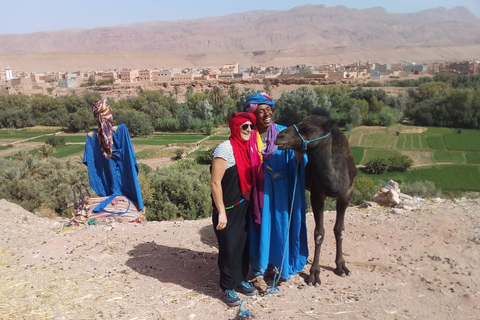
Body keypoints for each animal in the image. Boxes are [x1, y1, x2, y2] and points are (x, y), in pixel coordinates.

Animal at [274, 109, 356, 286]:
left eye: (308, 129)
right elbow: (319, 233)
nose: (280, 136)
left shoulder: (347, 193)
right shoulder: (317, 193)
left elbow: (339, 230)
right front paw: (313, 275)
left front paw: (341, 267)